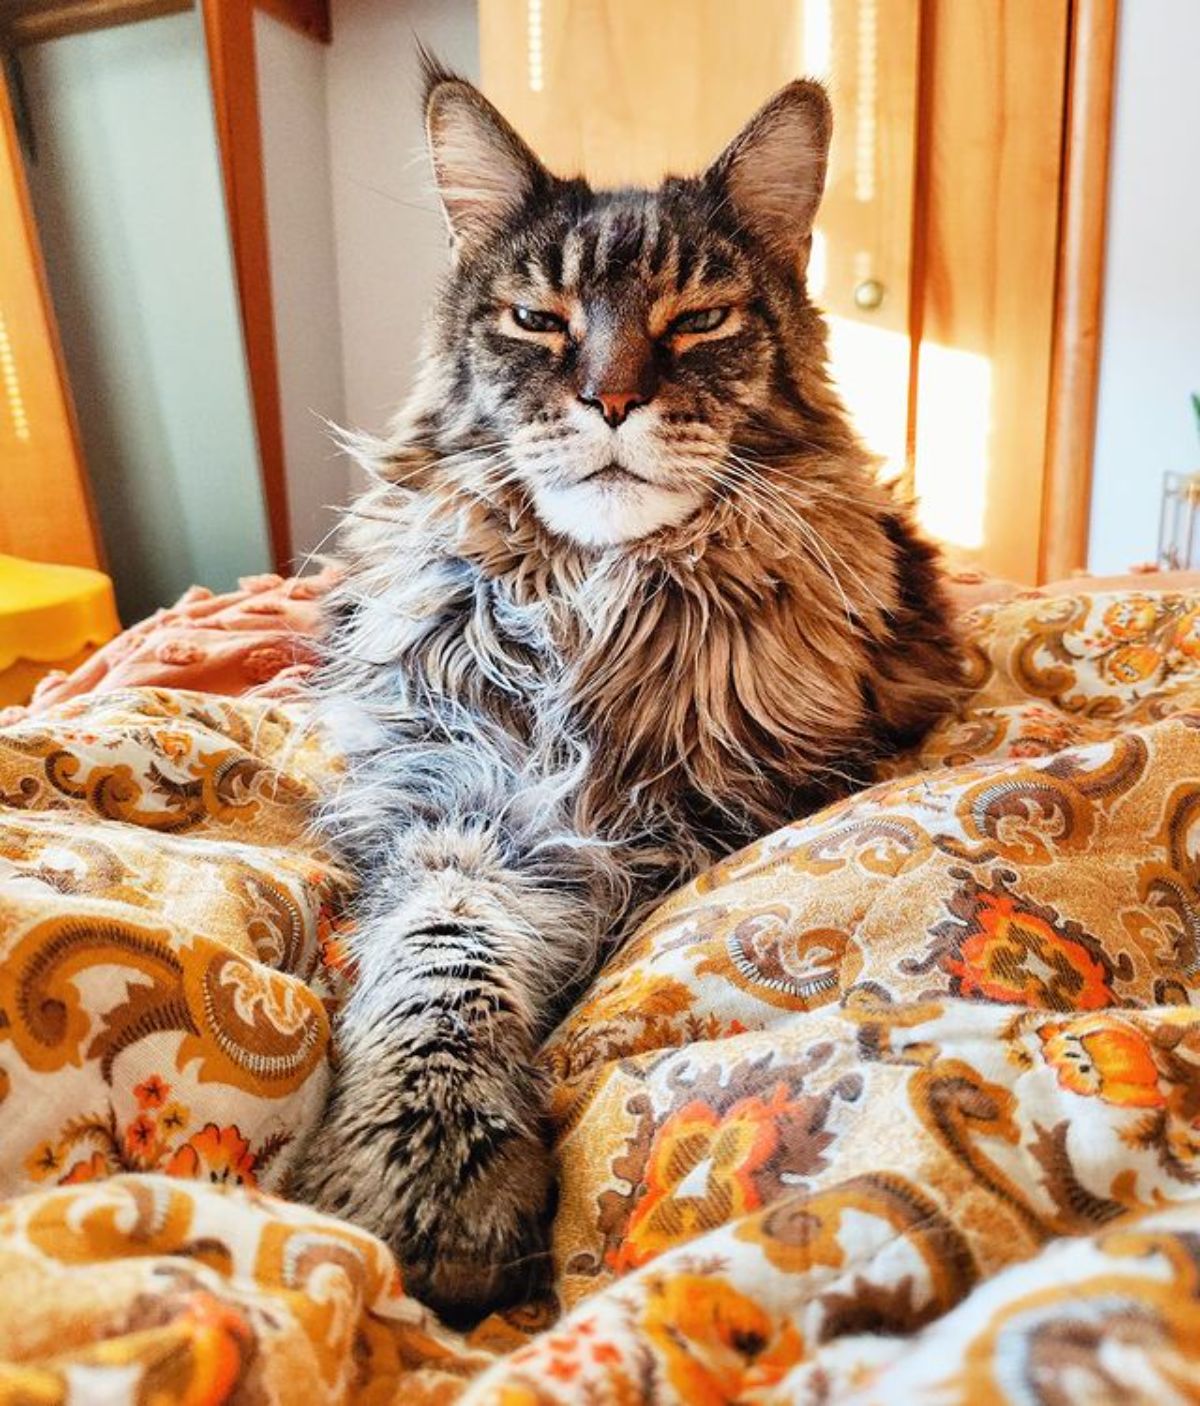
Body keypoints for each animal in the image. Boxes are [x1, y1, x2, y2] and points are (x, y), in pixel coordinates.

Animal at [295, 57, 962, 1327]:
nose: (610, 400)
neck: (591, 605)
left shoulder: (680, 826)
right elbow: (437, 967)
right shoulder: (459, 806)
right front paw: (432, 1178)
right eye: (537, 320)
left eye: (697, 319)